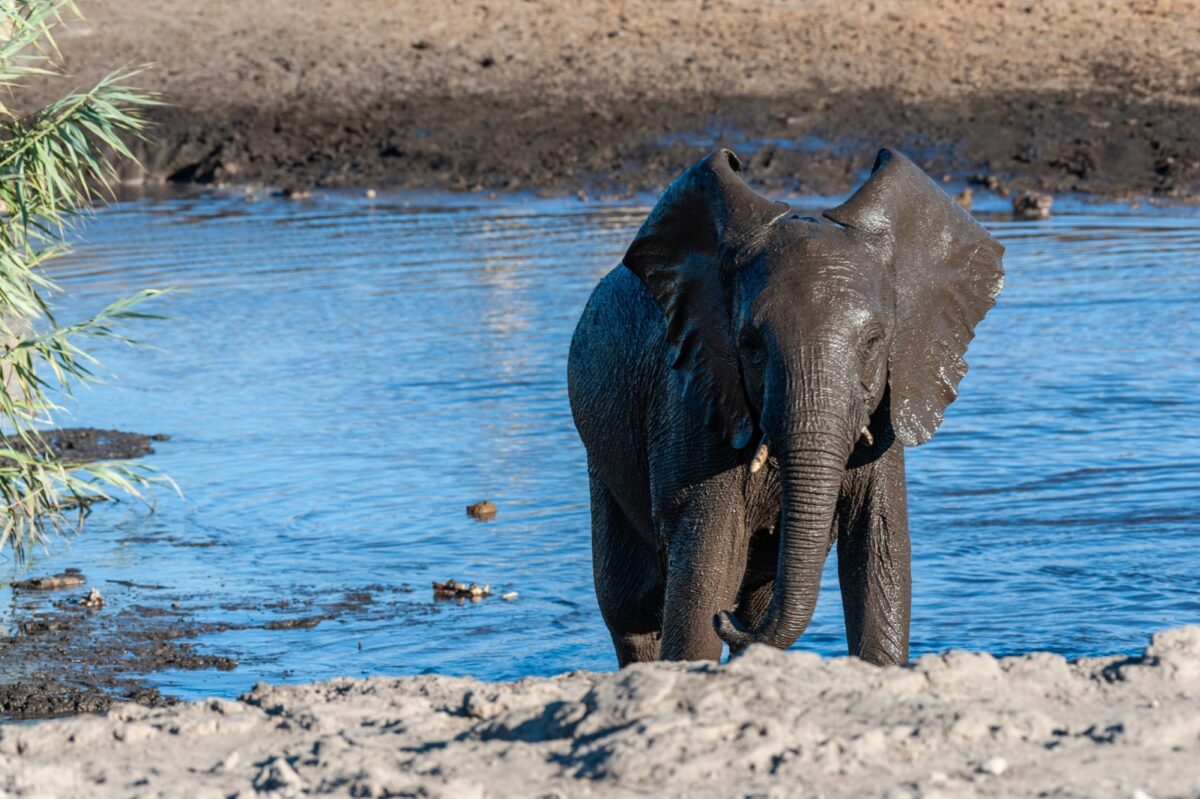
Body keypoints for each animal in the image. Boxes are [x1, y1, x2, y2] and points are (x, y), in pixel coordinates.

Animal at [567, 147, 1004, 667]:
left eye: (875, 342)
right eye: (751, 347)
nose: (724, 619)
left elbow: (879, 552)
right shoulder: (695, 406)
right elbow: (707, 564)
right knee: (630, 609)